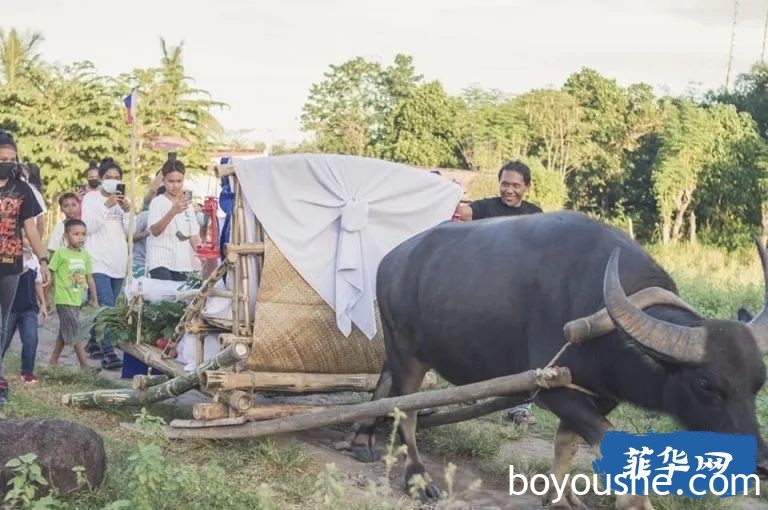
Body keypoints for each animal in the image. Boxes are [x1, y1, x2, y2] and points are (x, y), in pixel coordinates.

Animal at [352, 210, 764, 510]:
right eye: (706, 385)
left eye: (758, 382)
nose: (760, 464)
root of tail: (391, 259)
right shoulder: (550, 387)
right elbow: (606, 439)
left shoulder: (599, 392)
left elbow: (567, 441)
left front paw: (560, 496)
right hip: (407, 351)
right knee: (407, 409)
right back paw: (418, 480)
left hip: (398, 348)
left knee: (386, 385)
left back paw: (362, 438)